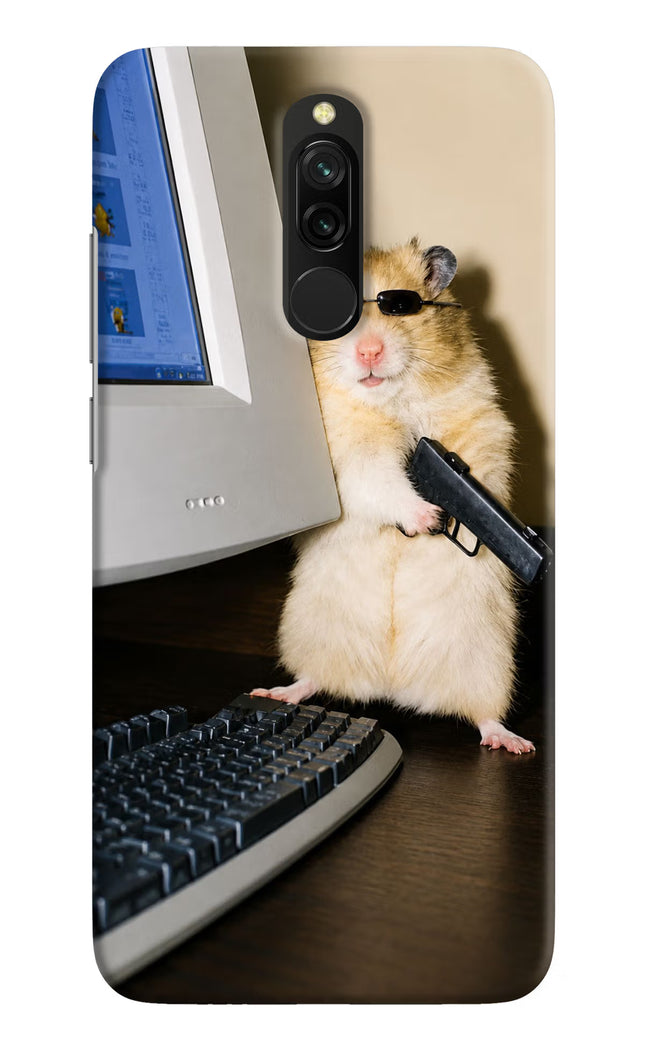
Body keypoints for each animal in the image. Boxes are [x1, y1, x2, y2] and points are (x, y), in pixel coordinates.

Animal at [252, 239, 534, 754]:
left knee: (484, 714)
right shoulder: (348, 458)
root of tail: (393, 686)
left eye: (401, 307)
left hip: (488, 660)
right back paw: (276, 692)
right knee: (312, 679)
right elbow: (381, 481)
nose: (369, 351)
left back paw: (512, 742)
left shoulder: (481, 424)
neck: (390, 401)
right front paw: (428, 518)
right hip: (311, 632)